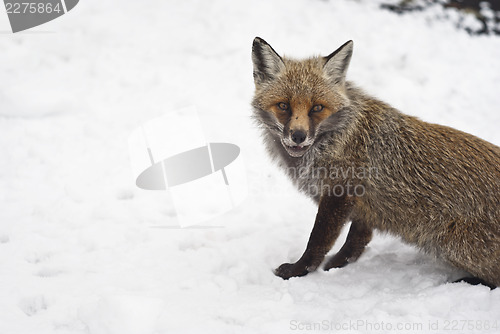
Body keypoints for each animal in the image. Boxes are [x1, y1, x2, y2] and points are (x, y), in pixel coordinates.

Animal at [252, 36, 500, 288]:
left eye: (317, 108)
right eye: (284, 106)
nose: (298, 136)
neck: (338, 138)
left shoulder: (340, 193)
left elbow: (318, 241)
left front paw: (298, 270)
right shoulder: (364, 203)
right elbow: (357, 240)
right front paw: (337, 265)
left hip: (452, 246)